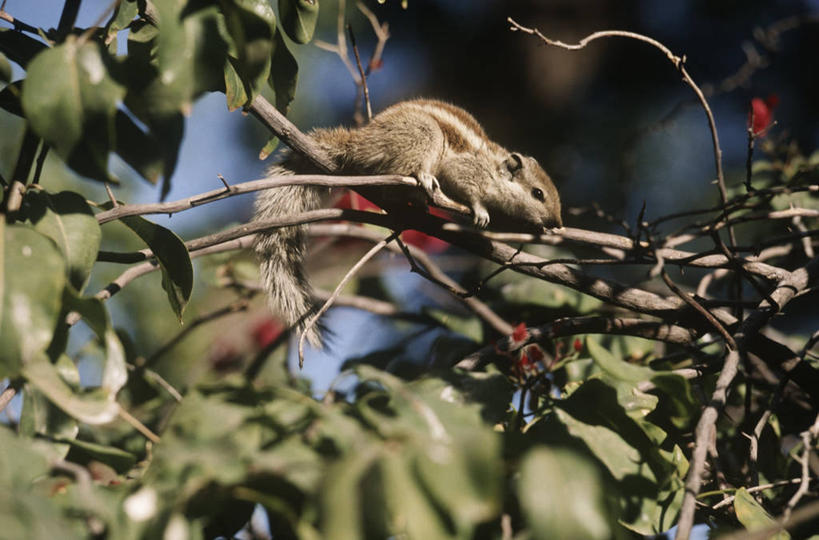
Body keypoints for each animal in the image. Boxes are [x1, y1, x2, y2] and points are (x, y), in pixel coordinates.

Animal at [256, 99, 564, 348]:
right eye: (538, 193)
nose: (558, 223)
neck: (493, 168)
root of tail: (359, 143)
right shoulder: (466, 171)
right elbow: (470, 190)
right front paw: (479, 211)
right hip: (422, 136)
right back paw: (423, 182)